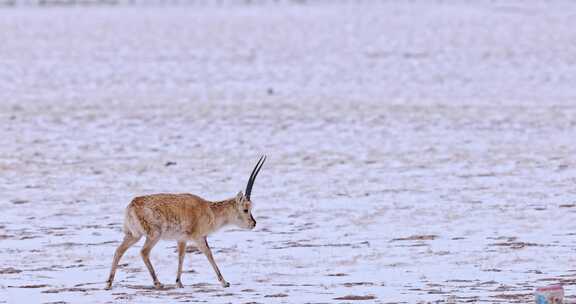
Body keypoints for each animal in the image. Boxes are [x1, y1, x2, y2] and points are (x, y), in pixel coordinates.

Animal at [104, 157, 266, 290]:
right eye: (246, 209)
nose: (253, 223)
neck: (209, 209)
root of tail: (132, 205)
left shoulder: (182, 239)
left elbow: (181, 256)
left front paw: (179, 282)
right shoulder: (198, 237)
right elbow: (209, 254)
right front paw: (224, 282)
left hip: (133, 235)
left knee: (118, 250)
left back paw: (108, 284)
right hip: (154, 235)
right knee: (143, 252)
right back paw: (158, 283)